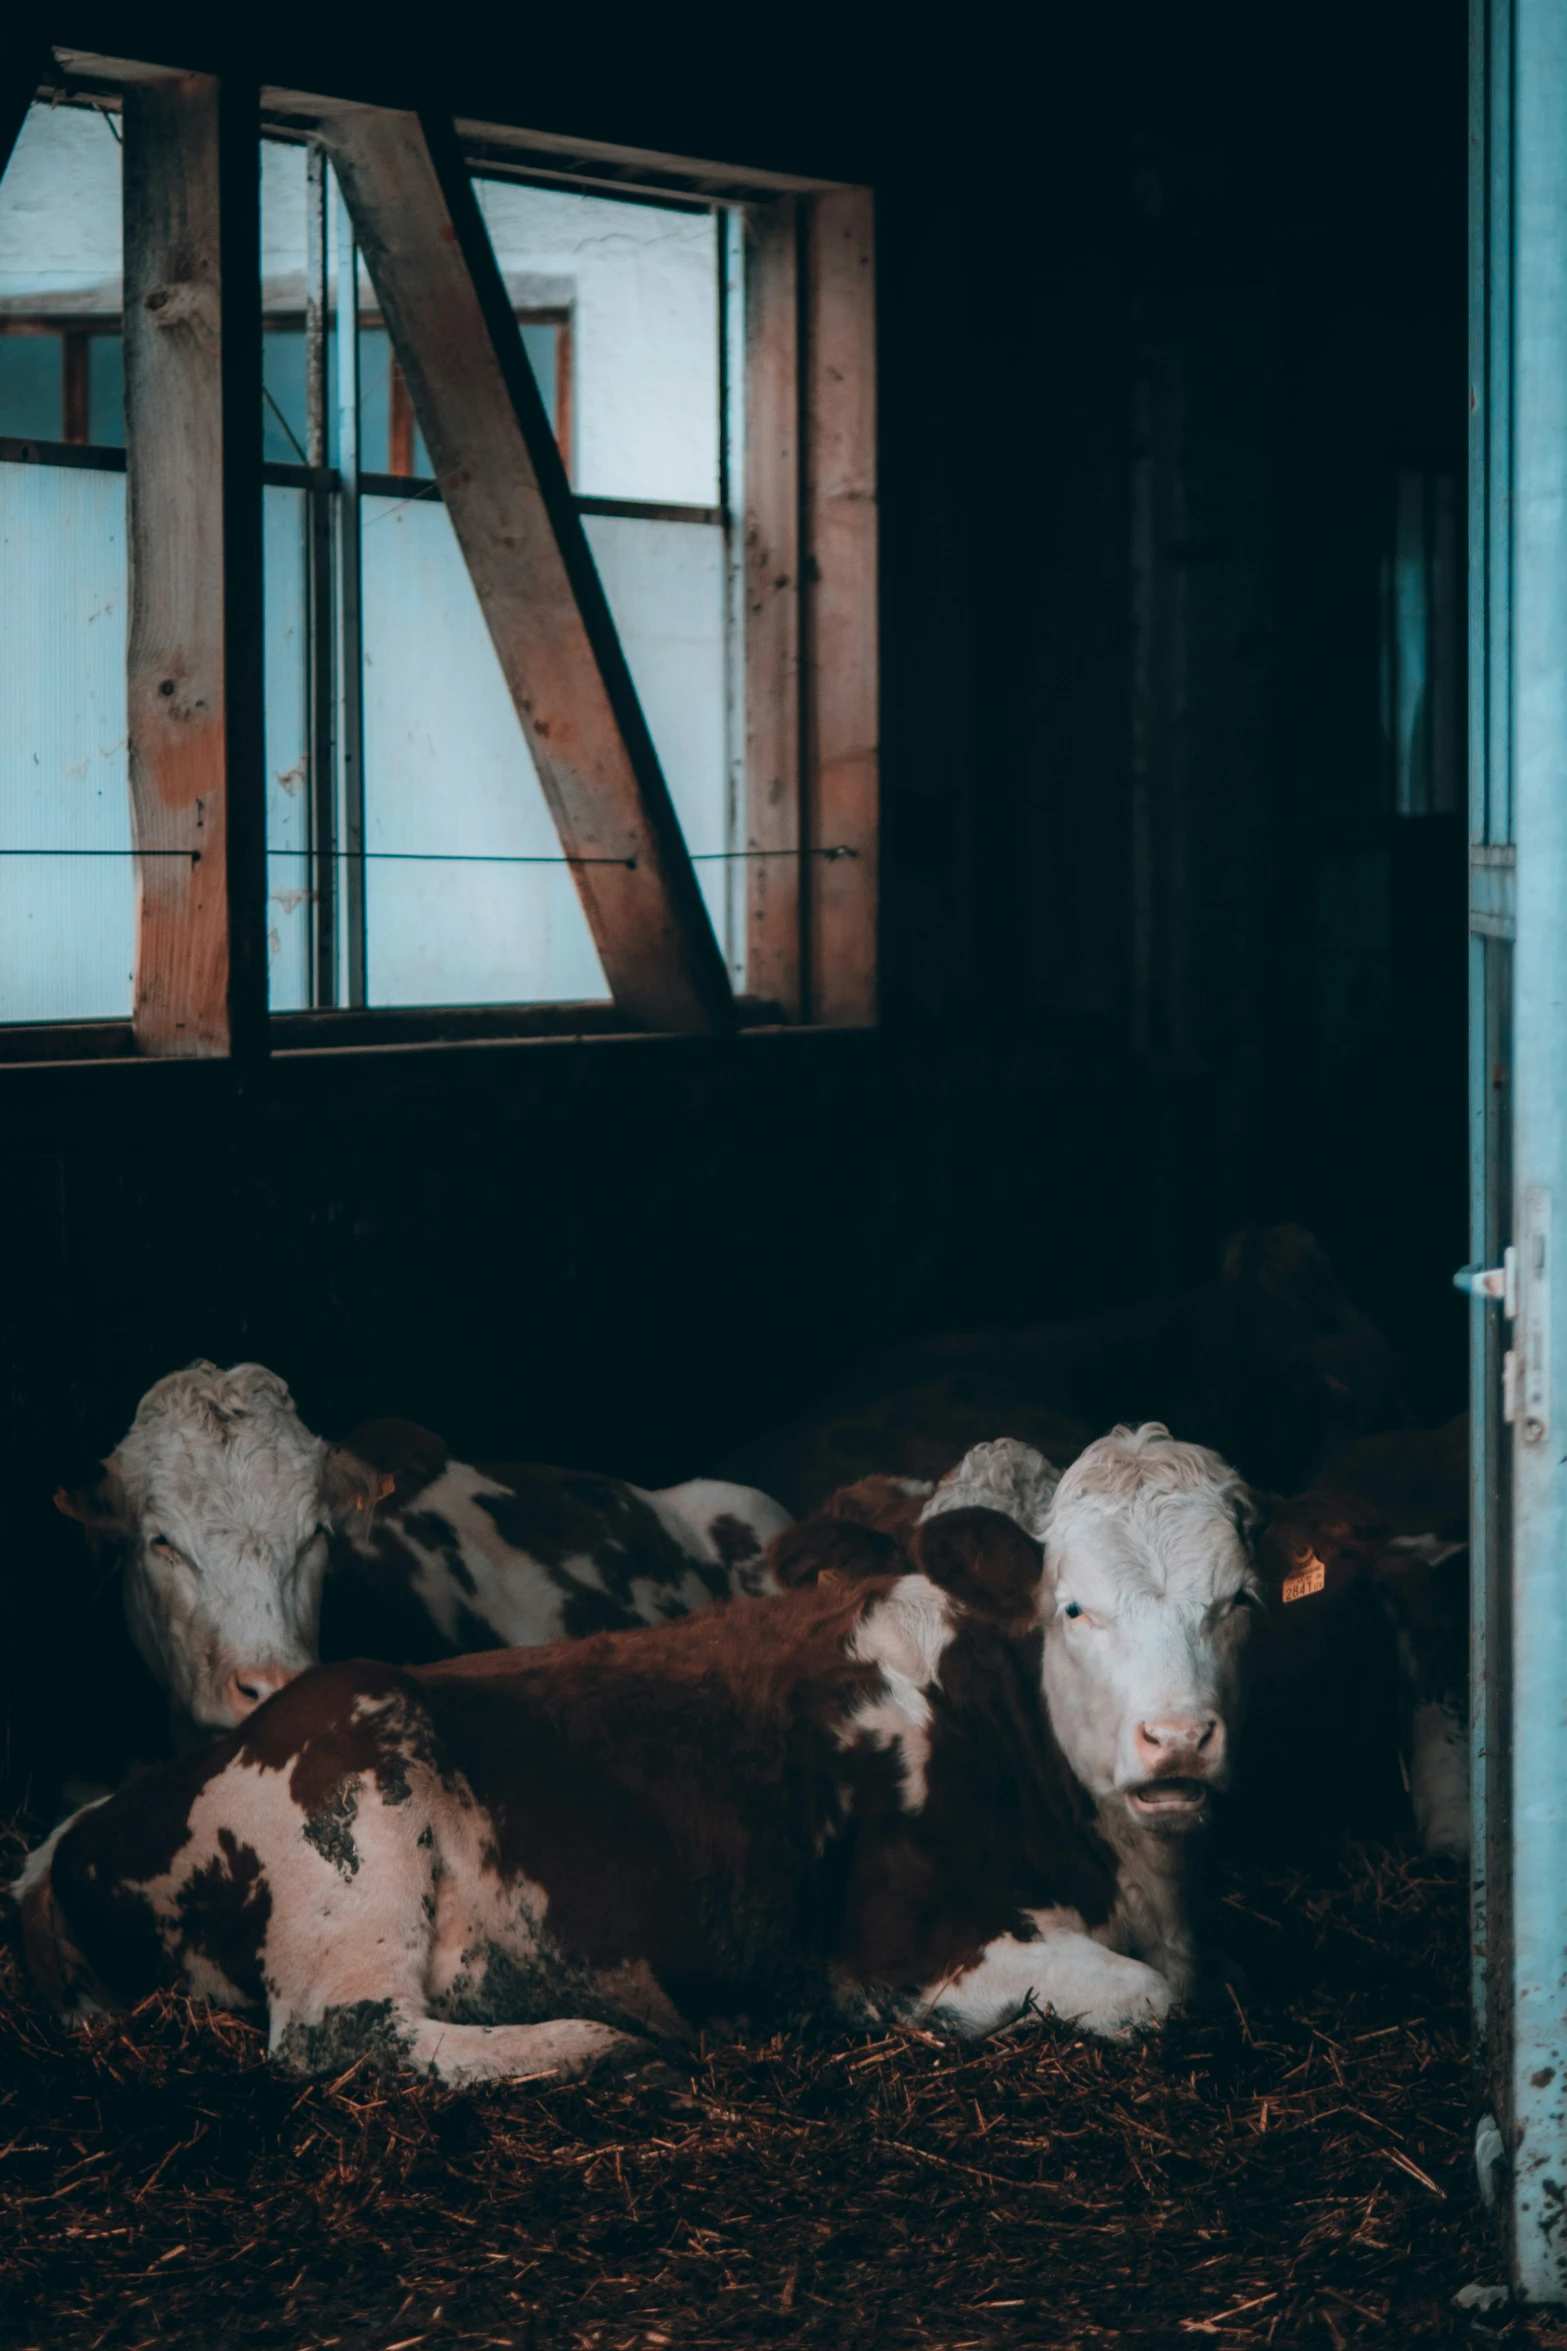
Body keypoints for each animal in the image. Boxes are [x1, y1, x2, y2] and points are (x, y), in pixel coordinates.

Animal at [18, 1420, 1268, 2087]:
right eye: (1071, 1606)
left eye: (1239, 1599)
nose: (1176, 1737)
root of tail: (76, 1833)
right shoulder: (896, 1946)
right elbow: (1151, 1997)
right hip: (353, 1816)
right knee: (345, 2029)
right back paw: (596, 2036)